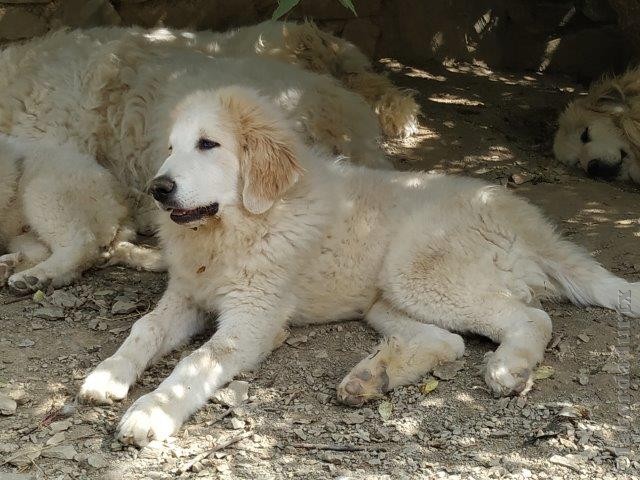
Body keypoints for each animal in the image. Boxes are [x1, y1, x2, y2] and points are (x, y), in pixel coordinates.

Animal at [0, 135, 162, 292]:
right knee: (49, 255)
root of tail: (122, 204)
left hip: (45, 190)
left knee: (81, 244)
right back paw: (13, 269)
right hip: (22, 234)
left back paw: (30, 275)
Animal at [80, 85, 640, 446]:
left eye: (208, 144)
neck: (240, 227)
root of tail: (529, 221)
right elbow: (144, 329)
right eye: (171, 148)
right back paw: (372, 378)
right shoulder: (187, 295)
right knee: (450, 342)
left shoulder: (254, 320)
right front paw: (109, 374)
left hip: (417, 273)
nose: (158, 188)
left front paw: (152, 411)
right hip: (387, 300)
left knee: (532, 316)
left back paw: (510, 366)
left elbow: (196, 361)